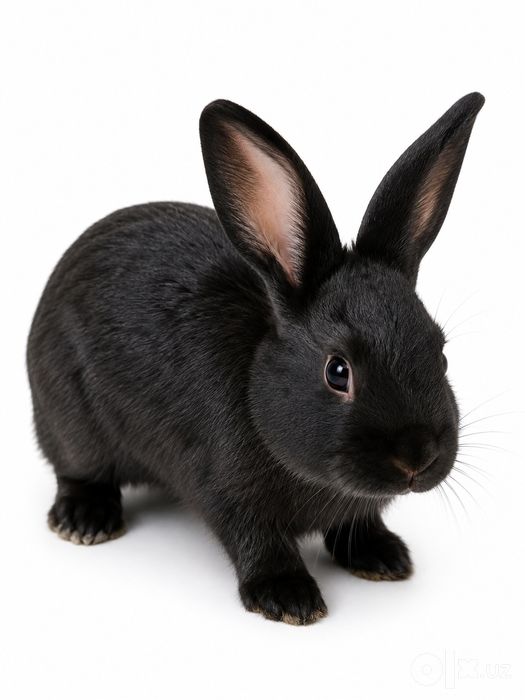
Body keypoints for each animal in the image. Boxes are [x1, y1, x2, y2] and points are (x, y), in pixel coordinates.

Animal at [27, 92, 484, 625]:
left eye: (441, 354)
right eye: (338, 372)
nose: (417, 457)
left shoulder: (356, 506)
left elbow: (358, 522)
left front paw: (384, 557)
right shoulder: (227, 490)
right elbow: (257, 540)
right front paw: (288, 598)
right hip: (69, 417)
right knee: (76, 468)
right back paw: (85, 520)